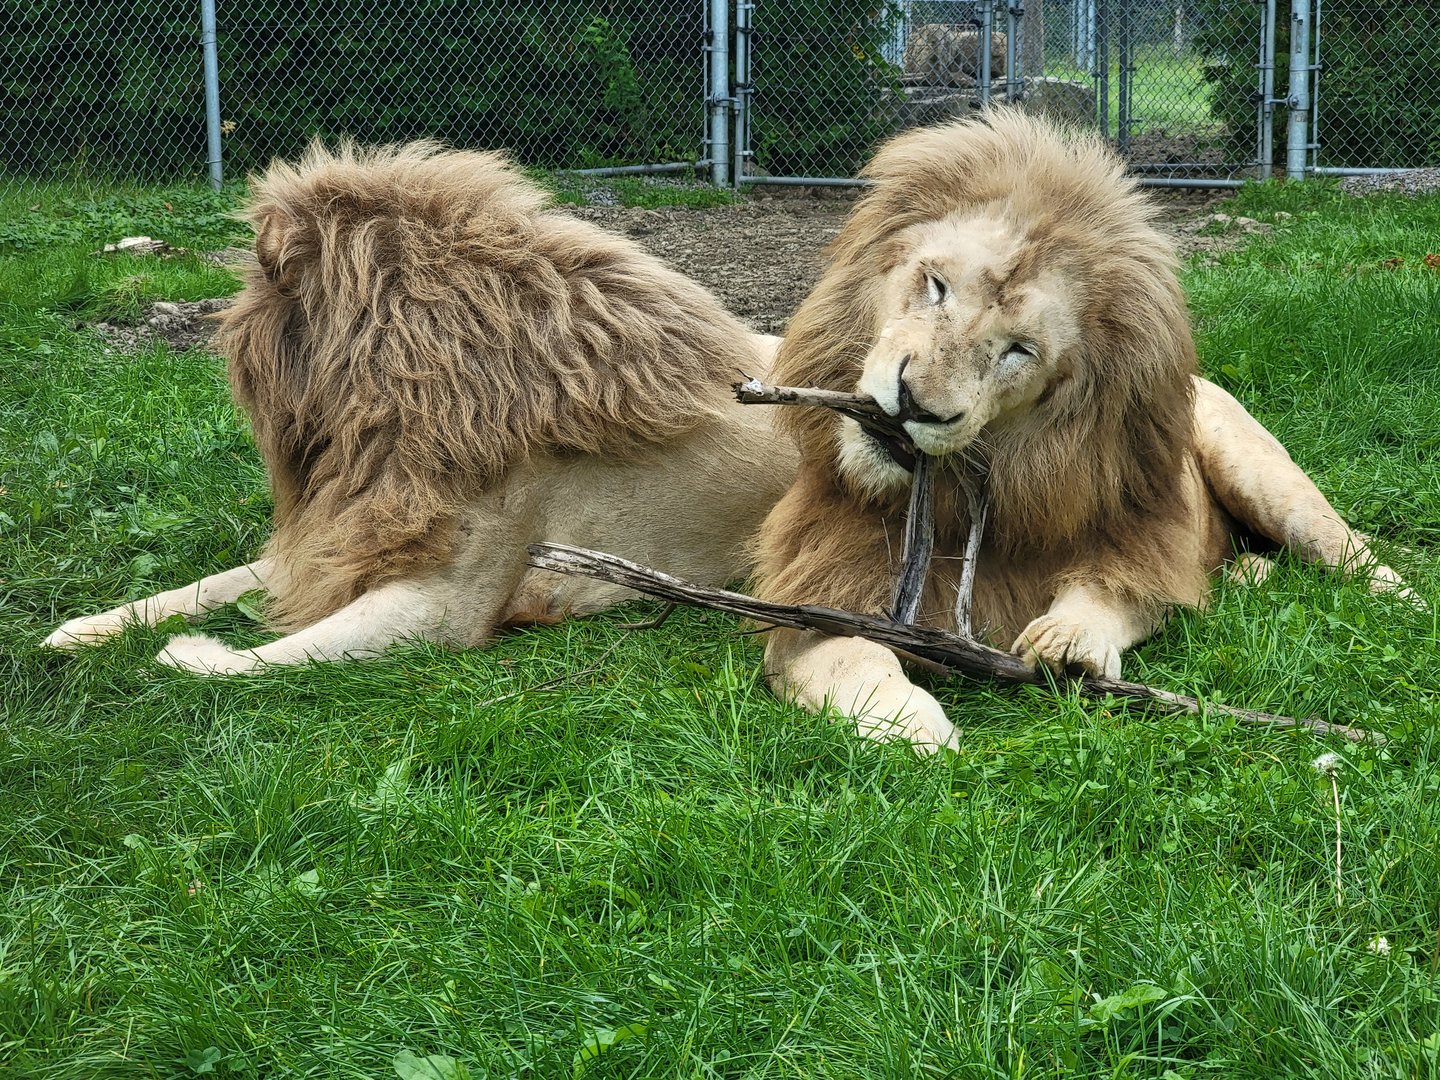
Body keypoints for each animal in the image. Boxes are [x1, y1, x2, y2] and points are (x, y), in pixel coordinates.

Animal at [44, 141, 799, 672]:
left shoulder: (443, 606)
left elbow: (244, 663)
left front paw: (188, 651)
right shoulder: (337, 544)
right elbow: (200, 586)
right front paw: (79, 630)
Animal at [752, 109, 1414, 751]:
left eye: (1019, 350)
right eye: (936, 286)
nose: (915, 403)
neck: (967, 490)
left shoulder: (1145, 547)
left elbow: (1115, 591)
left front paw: (1069, 640)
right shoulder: (813, 599)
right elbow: (849, 658)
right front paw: (911, 726)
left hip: (1263, 476)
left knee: (1355, 554)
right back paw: (1250, 574)